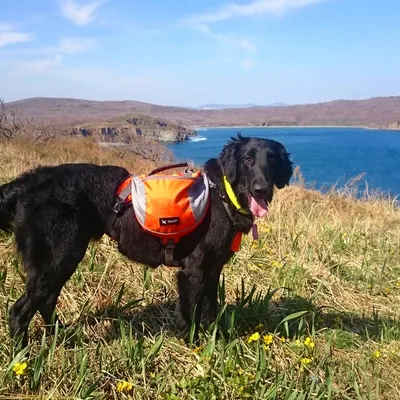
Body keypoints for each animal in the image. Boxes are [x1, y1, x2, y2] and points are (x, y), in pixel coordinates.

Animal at [0, 135, 294, 346]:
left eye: (272, 161)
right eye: (247, 159)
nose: (261, 189)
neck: (221, 195)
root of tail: (26, 182)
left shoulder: (213, 268)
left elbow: (210, 308)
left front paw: (217, 340)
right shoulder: (193, 270)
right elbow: (191, 312)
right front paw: (195, 345)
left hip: (59, 260)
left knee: (46, 301)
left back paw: (61, 336)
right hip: (61, 256)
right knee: (19, 310)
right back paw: (23, 354)